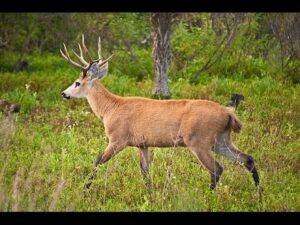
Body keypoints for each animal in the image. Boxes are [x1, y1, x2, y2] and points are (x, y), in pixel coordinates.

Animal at [59, 34, 258, 191]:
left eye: (77, 82)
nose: (63, 93)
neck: (110, 108)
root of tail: (228, 113)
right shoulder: (142, 144)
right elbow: (145, 172)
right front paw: (150, 194)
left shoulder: (118, 139)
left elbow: (97, 161)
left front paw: (84, 189)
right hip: (222, 139)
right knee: (247, 159)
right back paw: (259, 194)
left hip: (199, 141)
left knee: (217, 169)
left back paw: (211, 196)